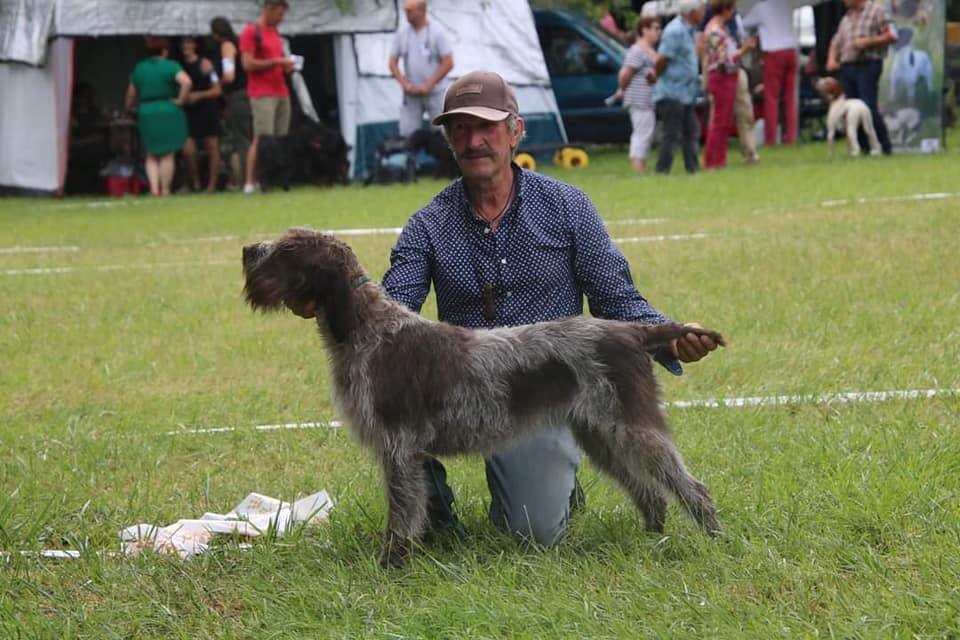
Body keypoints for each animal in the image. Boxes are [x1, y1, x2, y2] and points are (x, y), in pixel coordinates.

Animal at [244, 229, 724, 564]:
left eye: (288, 249)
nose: (248, 249)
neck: (369, 330)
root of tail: (631, 331)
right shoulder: (406, 453)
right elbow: (413, 508)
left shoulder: (398, 449)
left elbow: (401, 514)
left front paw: (391, 563)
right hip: (601, 435)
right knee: (650, 492)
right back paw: (652, 537)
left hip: (631, 427)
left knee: (691, 487)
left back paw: (715, 539)